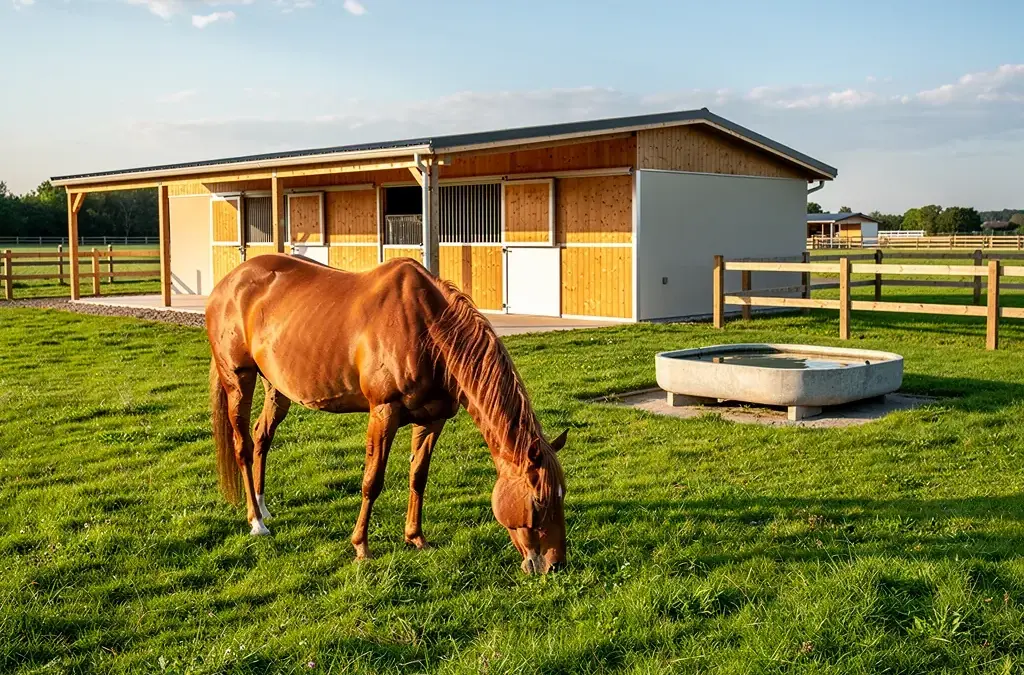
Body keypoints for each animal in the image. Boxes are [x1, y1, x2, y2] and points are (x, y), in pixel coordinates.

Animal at [206, 254, 568, 574]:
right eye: (538, 502)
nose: (554, 565)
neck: (425, 328)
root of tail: (228, 283)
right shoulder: (384, 412)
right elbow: (372, 481)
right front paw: (361, 547)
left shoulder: (432, 420)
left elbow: (418, 477)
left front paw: (416, 538)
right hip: (238, 379)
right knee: (243, 446)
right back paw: (256, 522)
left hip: (276, 386)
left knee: (261, 436)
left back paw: (264, 507)